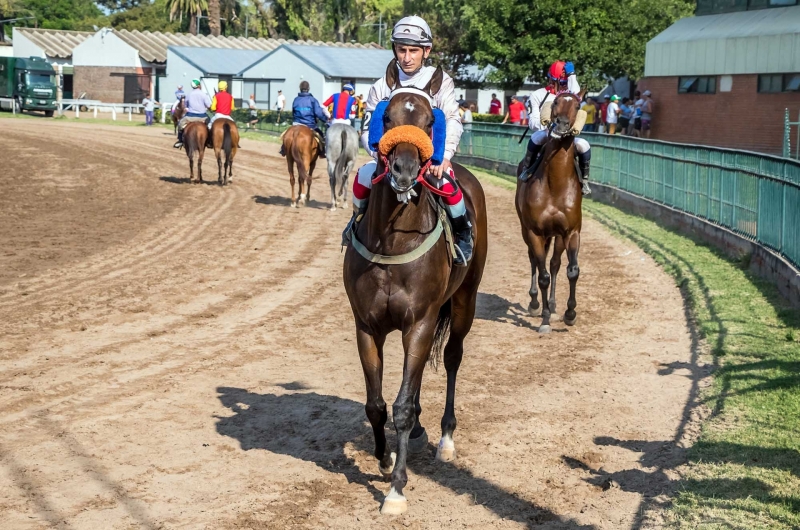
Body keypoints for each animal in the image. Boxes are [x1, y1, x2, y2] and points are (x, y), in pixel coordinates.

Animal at [342, 64, 488, 512]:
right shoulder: (367, 326)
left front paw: (396, 489)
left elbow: (402, 406)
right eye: (386, 118)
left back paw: (444, 437)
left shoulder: (420, 321)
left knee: (454, 357)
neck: (394, 240)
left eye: (428, 122)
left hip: (464, 302)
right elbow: (376, 404)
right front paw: (385, 458)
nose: (405, 171)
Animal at [516, 91, 584, 330]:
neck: (556, 183)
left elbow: (572, 270)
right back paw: (536, 302)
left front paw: (570, 313)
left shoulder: (571, 232)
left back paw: (553, 305)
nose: (562, 125)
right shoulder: (535, 232)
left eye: (577, 105)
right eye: (555, 102)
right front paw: (544, 317)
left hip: (557, 236)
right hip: (527, 231)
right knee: (535, 261)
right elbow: (542, 273)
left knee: (554, 264)